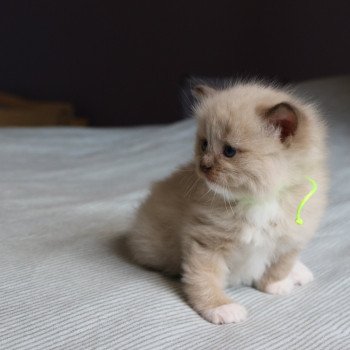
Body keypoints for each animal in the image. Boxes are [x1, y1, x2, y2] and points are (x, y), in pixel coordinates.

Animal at [128, 80, 328, 324]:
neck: (259, 200)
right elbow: (204, 279)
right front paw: (221, 308)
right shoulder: (206, 244)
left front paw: (276, 285)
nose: (203, 166)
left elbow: (281, 264)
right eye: (204, 144)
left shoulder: (291, 239)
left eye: (229, 151)